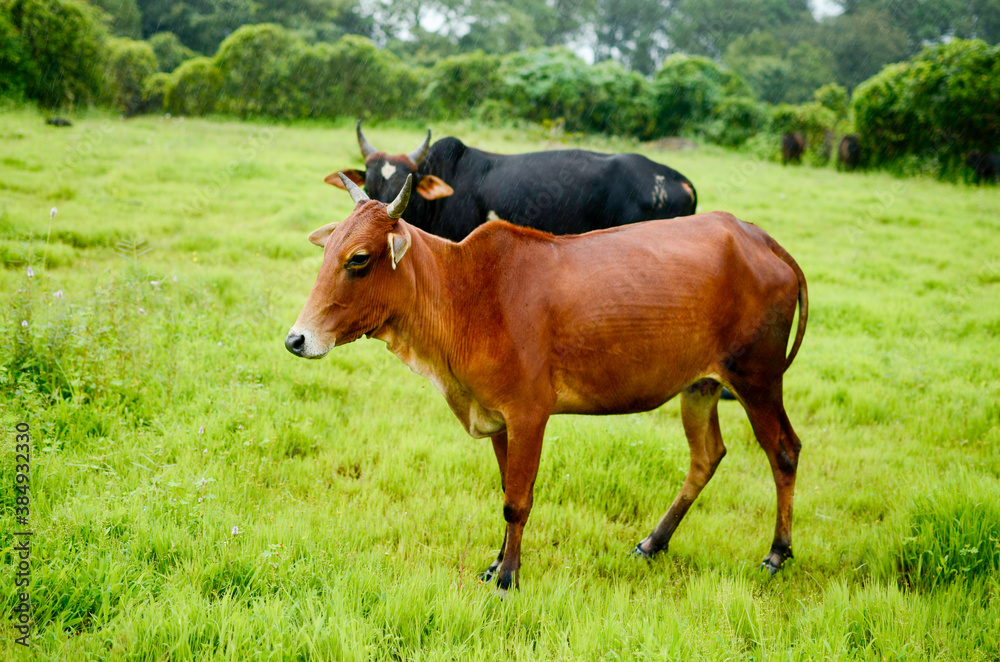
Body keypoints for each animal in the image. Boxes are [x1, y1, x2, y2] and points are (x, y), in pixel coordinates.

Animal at [286, 174, 808, 592]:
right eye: (327, 252)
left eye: (358, 259)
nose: (297, 339)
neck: (465, 294)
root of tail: (759, 237)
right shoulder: (497, 418)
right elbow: (505, 491)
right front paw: (495, 564)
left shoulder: (529, 414)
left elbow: (517, 502)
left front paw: (508, 578)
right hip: (699, 386)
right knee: (707, 456)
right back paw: (653, 542)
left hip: (757, 378)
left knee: (784, 451)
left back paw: (777, 552)